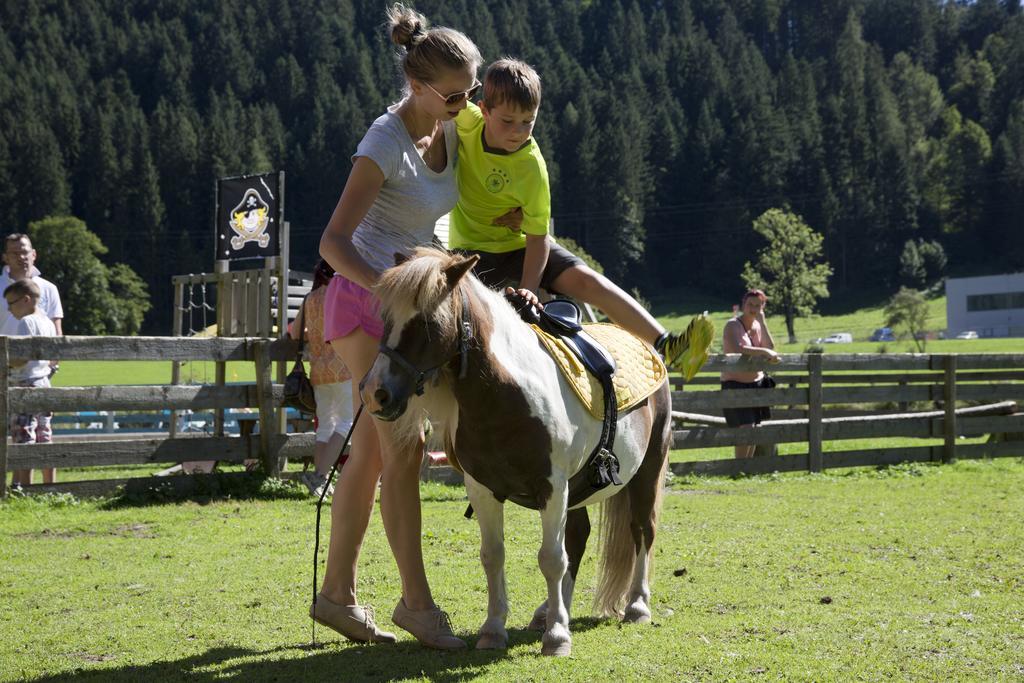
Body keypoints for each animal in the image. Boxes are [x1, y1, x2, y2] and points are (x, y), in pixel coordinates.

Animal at [360, 246, 671, 655]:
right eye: (385, 318)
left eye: (426, 321)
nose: (375, 392)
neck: (507, 395)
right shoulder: (484, 489)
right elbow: (494, 556)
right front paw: (495, 629)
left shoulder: (551, 486)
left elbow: (551, 558)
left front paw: (557, 637)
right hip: (577, 489)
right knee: (579, 536)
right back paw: (551, 611)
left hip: (647, 470)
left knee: (641, 529)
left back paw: (636, 605)